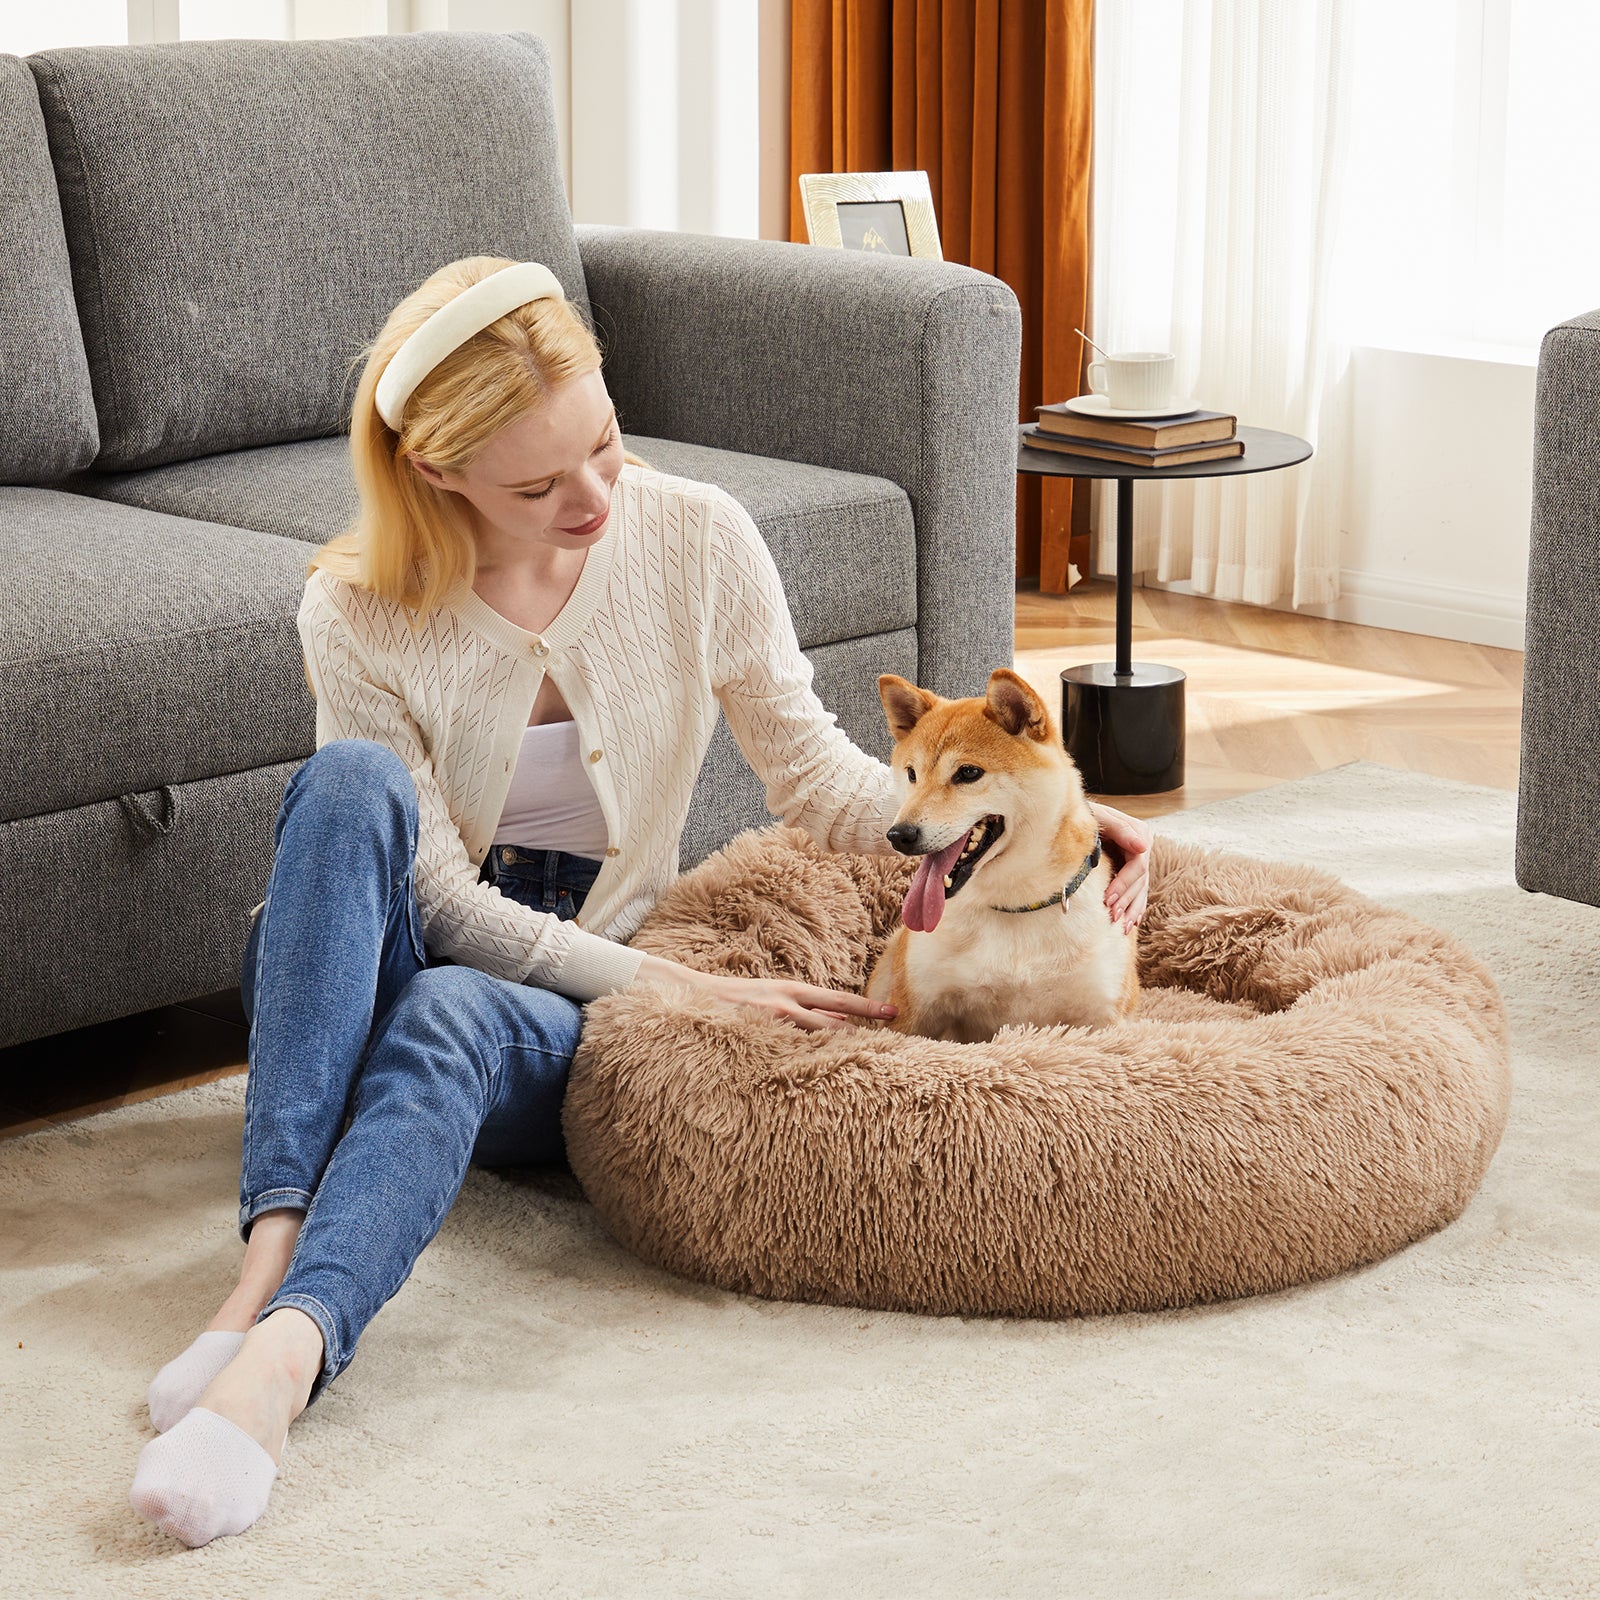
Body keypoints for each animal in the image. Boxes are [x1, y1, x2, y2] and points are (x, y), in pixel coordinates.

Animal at [864, 668, 1139, 1043]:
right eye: (911, 774)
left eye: (968, 773)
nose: (899, 835)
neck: (1014, 906)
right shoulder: (910, 1016)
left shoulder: (1104, 1018)